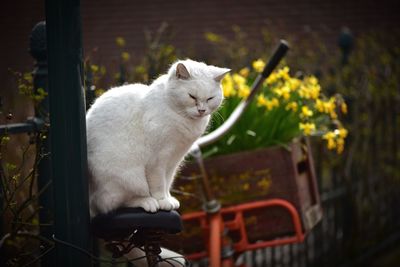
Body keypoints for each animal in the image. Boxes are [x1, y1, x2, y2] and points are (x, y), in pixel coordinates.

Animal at [86, 59, 230, 217]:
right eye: (192, 96)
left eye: (210, 99)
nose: (201, 110)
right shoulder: (157, 161)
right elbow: (159, 185)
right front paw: (162, 202)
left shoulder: (174, 160)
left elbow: (167, 183)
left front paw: (168, 199)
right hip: (129, 178)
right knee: (112, 204)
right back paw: (148, 202)